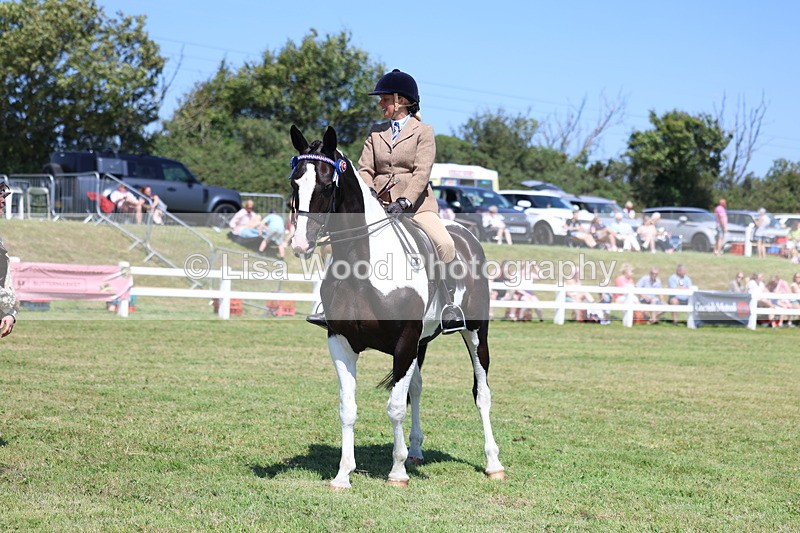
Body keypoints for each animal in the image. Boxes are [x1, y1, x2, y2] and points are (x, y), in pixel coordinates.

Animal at [288, 125, 505, 489]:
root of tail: (467, 236)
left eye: (326, 184)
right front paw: (343, 475)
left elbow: (395, 407)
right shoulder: (341, 342)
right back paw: (415, 450)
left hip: (475, 332)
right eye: (294, 182)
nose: (300, 245)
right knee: (416, 388)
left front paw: (398, 472)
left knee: (481, 392)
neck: (363, 265)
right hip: (422, 341)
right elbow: (349, 408)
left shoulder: (404, 342)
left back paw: (493, 463)